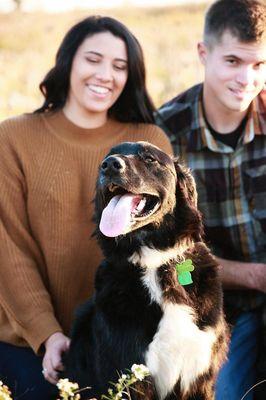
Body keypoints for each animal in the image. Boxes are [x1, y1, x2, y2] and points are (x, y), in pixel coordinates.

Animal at [65, 141, 229, 400]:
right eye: (108, 156)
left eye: (150, 158)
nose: (110, 165)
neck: (155, 263)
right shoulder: (128, 373)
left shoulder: (199, 374)